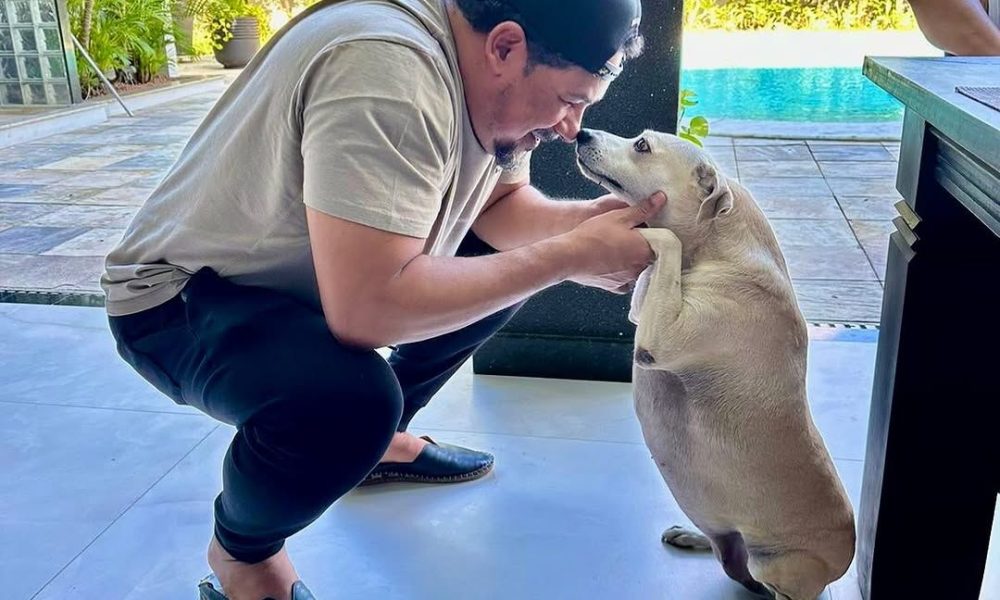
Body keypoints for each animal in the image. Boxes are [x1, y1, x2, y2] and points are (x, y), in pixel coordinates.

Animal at [575, 128, 856, 600]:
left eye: (642, 146)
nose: (581, 132)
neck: (714, 243)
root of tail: (847, 555)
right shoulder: (646, 309)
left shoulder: (659, 339)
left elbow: (665, 241)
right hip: (731, 539)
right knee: (725, 551)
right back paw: (692, 536)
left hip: (777, 564)